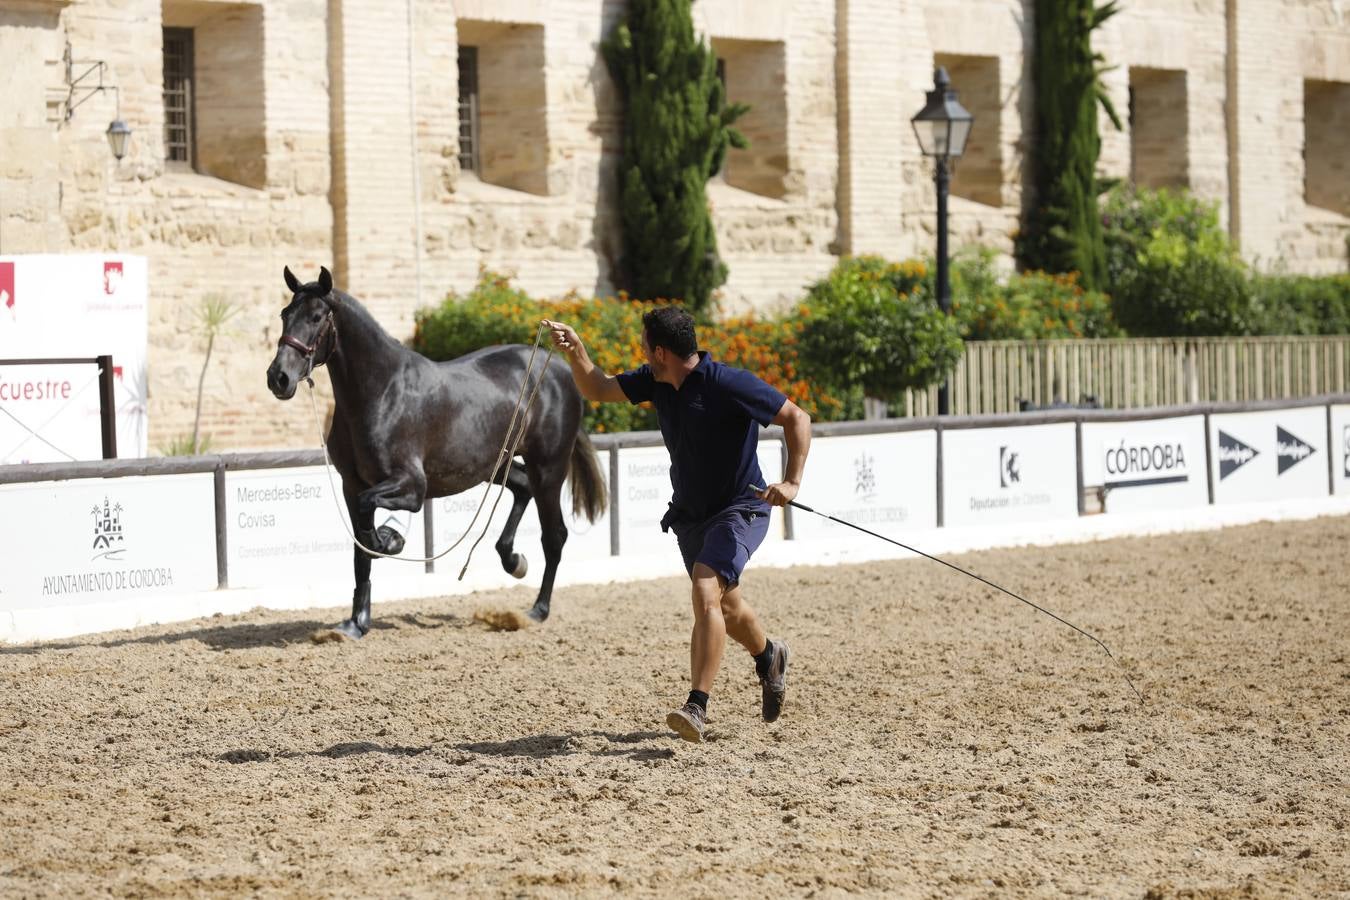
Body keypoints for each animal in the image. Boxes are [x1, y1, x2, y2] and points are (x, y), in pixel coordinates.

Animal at [265, 267, 604, 639]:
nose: (278, 378)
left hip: (549, 468)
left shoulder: (412, 486)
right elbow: (360, 551)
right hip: (494, 464)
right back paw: (513, 560)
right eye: (284, 314)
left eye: (315, 317)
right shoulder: (351, 486)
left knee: (554, 536)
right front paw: (356, 622)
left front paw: (390, 540)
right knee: (522, 488)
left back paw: (537, 610)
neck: (381, 392)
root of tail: (561, 371)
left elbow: (372, 529)